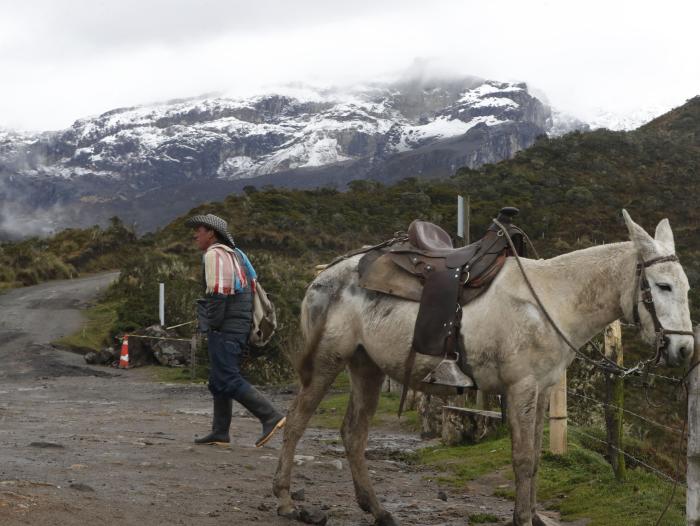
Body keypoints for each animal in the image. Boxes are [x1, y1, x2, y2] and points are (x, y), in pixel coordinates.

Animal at [274, 211, 696, 526]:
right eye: (662, 286)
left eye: (686, 288)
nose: (684, 349)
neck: (551, 300)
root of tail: (322, 276)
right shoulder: (521, 387)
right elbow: (522, 459)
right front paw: (522, 520)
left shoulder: (543, 389)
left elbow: (536, 458)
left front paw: (530, 515)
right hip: (326, 361)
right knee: (295, 422)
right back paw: (287, 502)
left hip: (367, 368)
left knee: (353, 434)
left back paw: (378, 511)